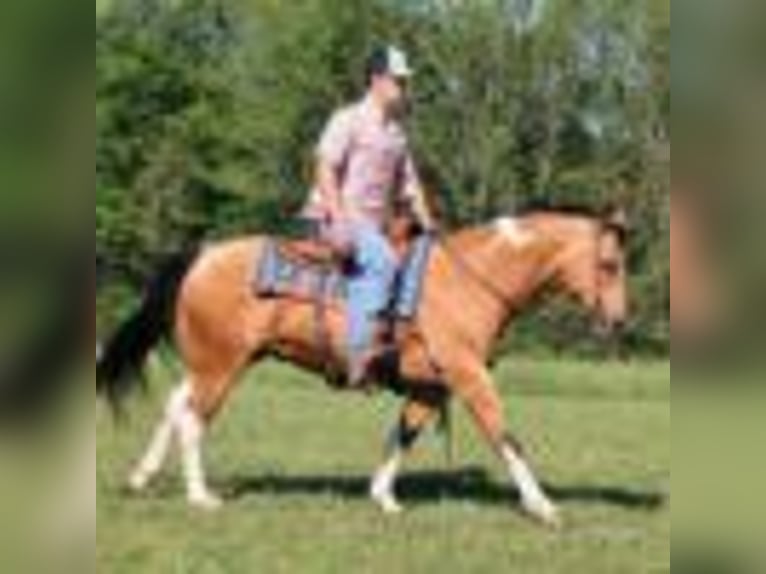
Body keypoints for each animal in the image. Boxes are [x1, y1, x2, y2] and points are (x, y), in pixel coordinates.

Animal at [97, 209, 632, 528]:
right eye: (609, 264)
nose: (620, 320)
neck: (468, 281)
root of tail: (204, 255)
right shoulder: (468, 375)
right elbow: (505, 434)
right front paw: (543, 505)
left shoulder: (431, 385)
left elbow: (404, 434)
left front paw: (383, 496)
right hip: (220, 365)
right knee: (193, 419)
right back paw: (200, 496)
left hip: (212, 362)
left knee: (174, 405)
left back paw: (142, 476)